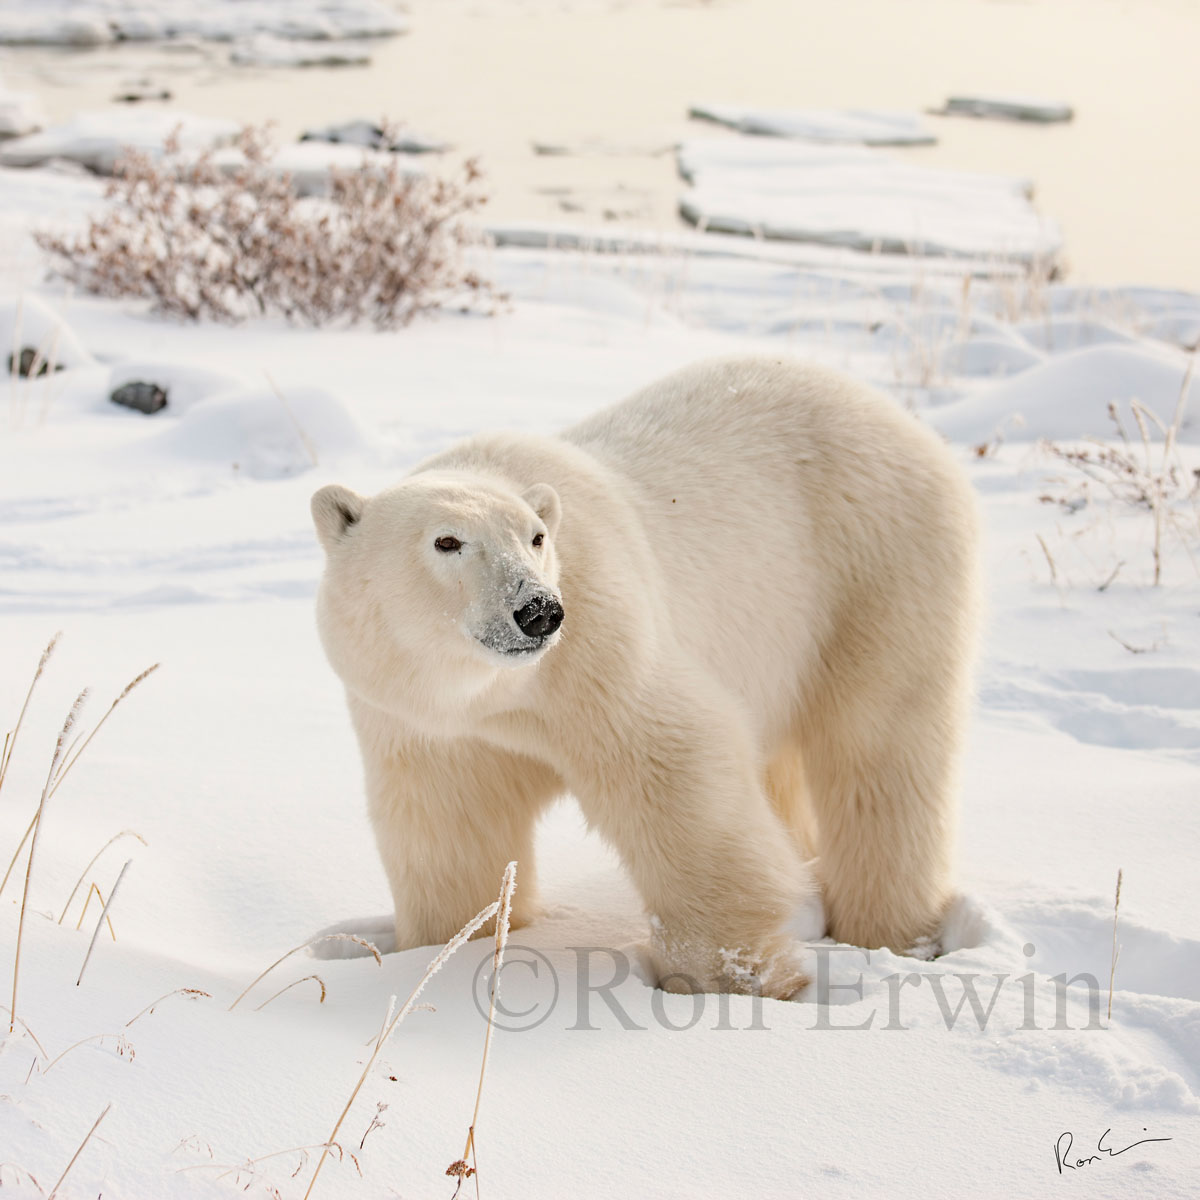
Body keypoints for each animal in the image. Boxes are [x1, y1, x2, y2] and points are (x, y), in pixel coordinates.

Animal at [311, 355, 979, 998]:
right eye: (447, 541)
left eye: (536, 536)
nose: (538, 610)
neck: (497, 693)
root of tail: (900, 418)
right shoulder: (426, 723)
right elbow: (449, 828)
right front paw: (441, 948)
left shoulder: (598, 649)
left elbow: (679, 771)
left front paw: (726, 976)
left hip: (875, 563)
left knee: (880, 749)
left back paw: (893, 929)